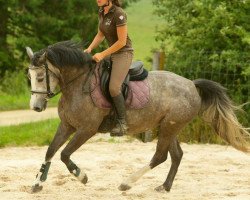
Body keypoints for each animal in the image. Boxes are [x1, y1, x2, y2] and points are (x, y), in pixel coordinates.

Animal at [25, 41, 250, 194]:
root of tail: (192, 85)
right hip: (169, 126)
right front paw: (37, 183)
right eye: (29, 77)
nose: (36, 107)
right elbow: (50, 151)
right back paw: (164, 187)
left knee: (160, 156)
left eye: (40, 77)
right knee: (176, 155)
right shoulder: (67, 125)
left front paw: (82, 176)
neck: (78, 84)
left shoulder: (86, 129)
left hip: (169, 127)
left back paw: (127, 183)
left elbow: (64, 154)